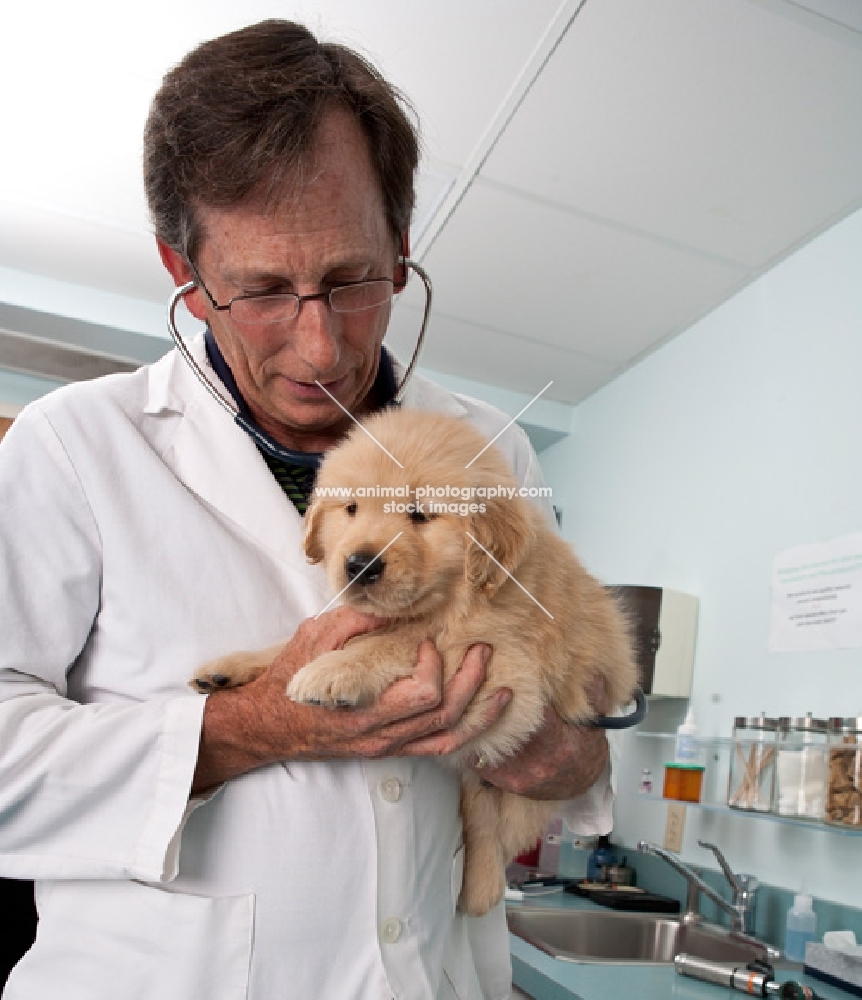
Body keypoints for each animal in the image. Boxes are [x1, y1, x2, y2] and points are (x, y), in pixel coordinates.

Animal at [196, 410, 640, 916]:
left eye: (421, 515)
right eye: (351, 508)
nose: (360, 565)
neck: (457, 595)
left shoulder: (508, 666)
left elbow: (404, 637)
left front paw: (335, 670)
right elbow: (302, 640)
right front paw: (234, 666)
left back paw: (480, 890)